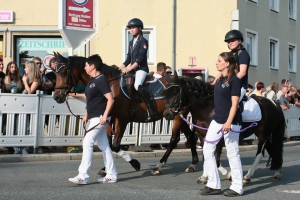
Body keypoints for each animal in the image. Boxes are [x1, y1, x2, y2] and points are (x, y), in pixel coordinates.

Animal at [52, 52, 199, 175]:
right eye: (54, 73)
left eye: (63, 73)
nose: (57, 97)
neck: (110, 85)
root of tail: (184, 82)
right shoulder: (108, 119)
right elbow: (108, 145)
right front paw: (105, 168)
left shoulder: (122, 120)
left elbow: (115, 145)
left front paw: (135, 163)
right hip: (179, 116)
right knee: (190, 136)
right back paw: (193, 164)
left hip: (177, 116)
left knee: (174, 139)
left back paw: (159, 166)